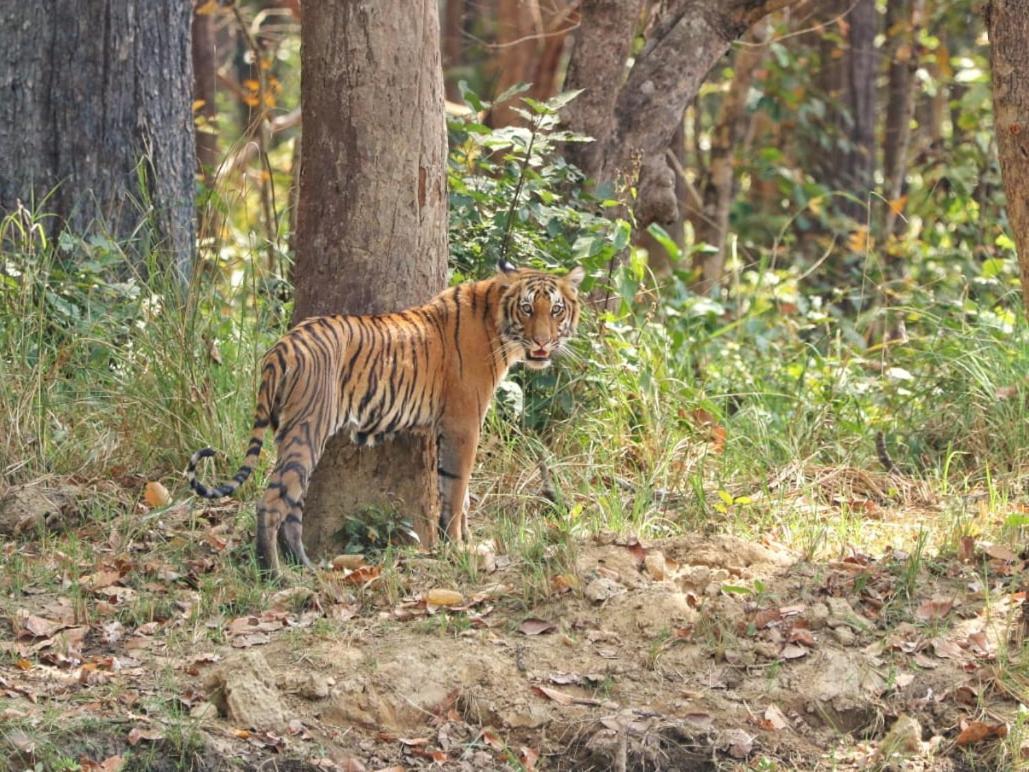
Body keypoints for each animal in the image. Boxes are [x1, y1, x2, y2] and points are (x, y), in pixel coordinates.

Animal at [188, 263, 584, 576]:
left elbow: (461, 494)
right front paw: (458, 547)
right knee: (272, 503)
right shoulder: (464, 424)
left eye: (556, 310)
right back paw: (274, 575)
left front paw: (466, 539)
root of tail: (281, 347)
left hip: (295, 435)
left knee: (293, 507)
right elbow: (457, 491)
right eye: (527, 308)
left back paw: (306, 567)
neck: (497, 324)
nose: (542, 343)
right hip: (307, 429)